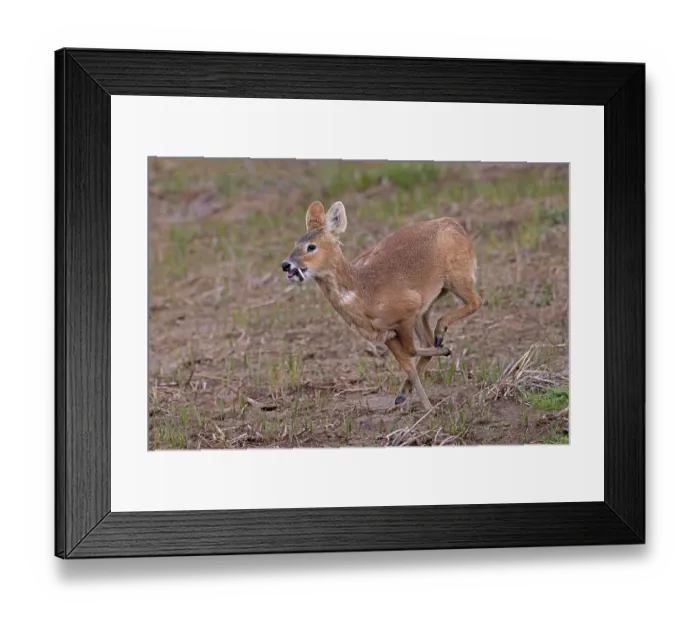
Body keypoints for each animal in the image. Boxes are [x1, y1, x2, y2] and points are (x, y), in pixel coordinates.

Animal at [281, 200, 482, 412]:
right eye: (295, 244)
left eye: (311, 246)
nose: (286, 265)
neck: (364, 292)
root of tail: (456, 225)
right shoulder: (386, 333)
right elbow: (409, 365)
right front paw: (422, 404)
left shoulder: (406, 312)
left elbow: (411, 351)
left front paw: (429, 403)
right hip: (428, 305)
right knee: (428, 338)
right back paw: (406, 389)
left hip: (458, 277)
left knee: (475, 301)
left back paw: (441, 333)